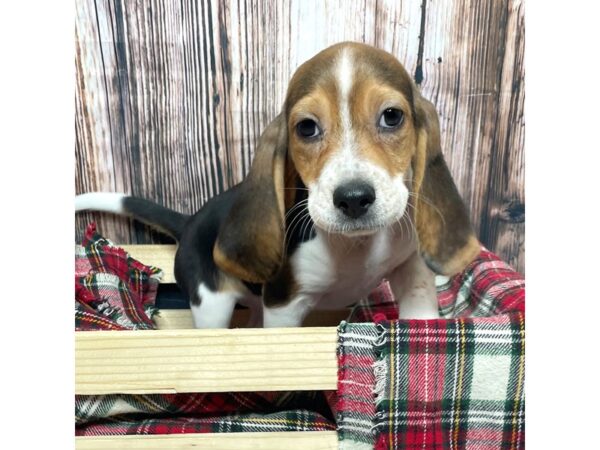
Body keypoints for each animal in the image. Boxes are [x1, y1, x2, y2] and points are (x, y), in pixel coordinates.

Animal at [75, 42, 480, 328]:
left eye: (392, 116)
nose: (353, 198)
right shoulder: (284, 307)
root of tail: (190, 222)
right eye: (306, 127)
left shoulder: (412, 272)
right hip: (211, 303)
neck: (356, 246)